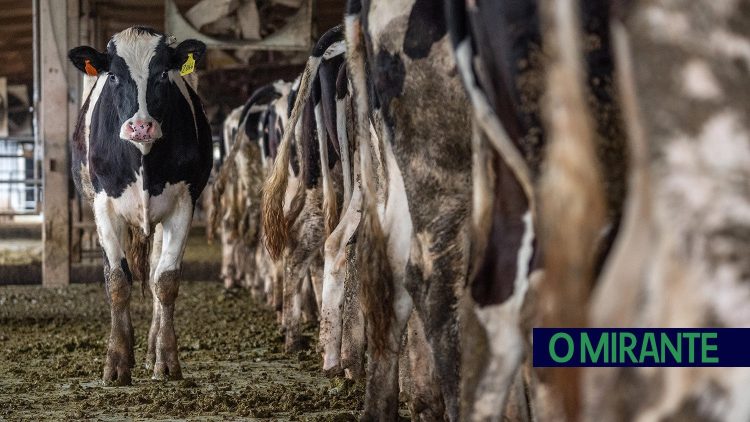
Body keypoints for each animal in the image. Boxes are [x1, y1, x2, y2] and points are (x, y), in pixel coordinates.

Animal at [68, 27, 213, 386]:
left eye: (163, 73)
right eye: (114, 77)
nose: (141, 126)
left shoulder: (183, 204)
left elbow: (166, 281)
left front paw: (167, 359)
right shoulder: (104, 206)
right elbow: (118, 281)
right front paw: (116, 362)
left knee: (154, 272)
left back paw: (149, 351)